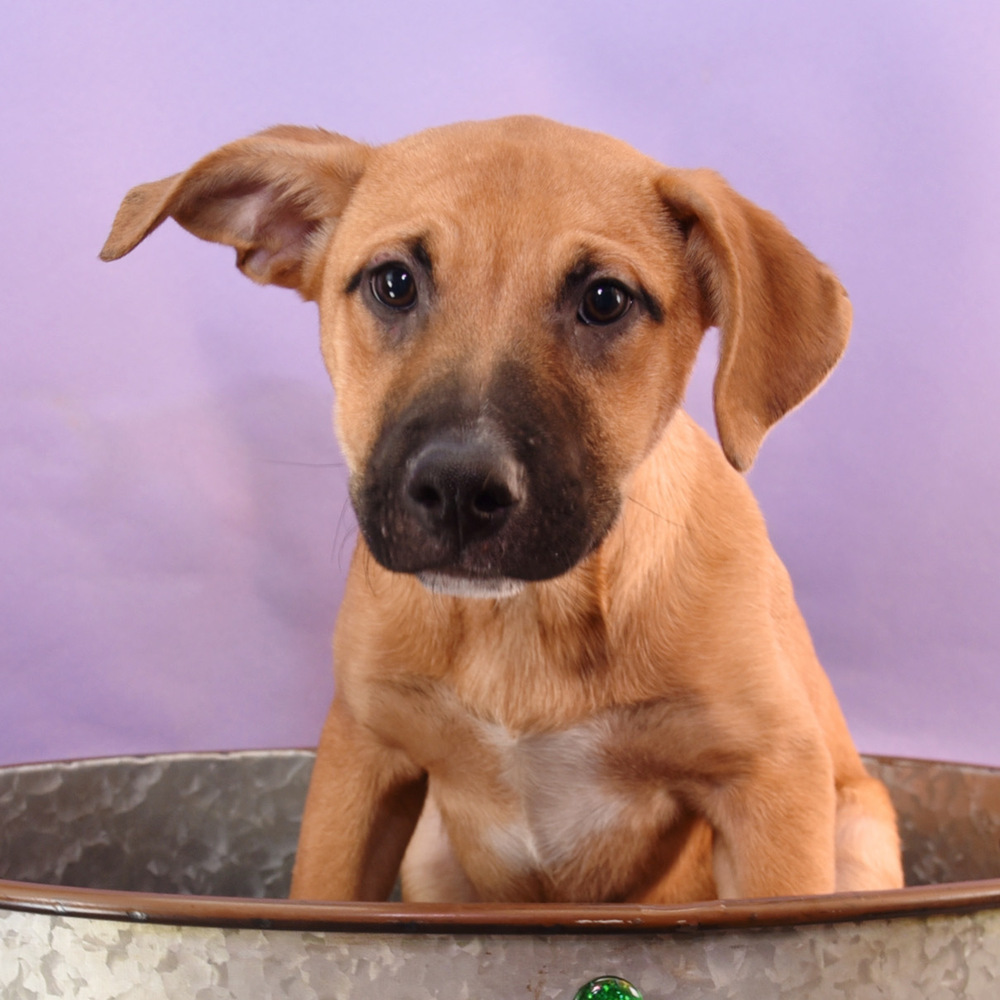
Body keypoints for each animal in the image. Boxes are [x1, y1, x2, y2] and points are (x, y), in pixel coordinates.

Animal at [103, 113, 908, 904]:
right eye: (394, 283)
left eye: (605, 300)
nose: (460, 489)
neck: (525, 619)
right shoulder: (360, 758)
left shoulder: (772, 783)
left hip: (858, 825)